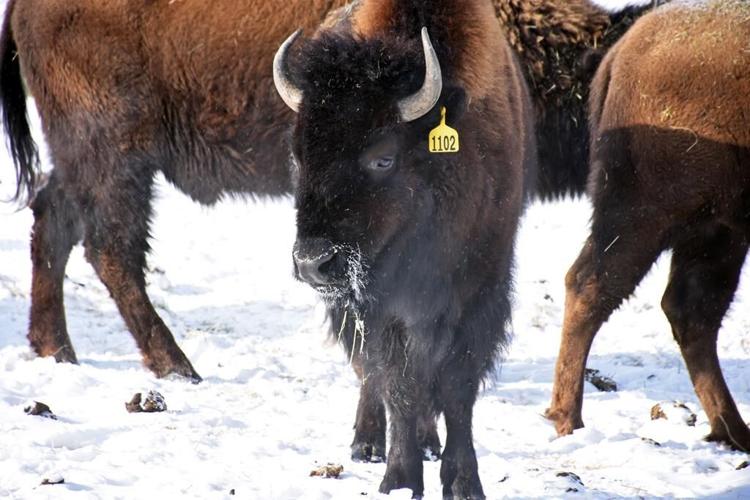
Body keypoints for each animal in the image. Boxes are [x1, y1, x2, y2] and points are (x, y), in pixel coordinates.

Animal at [273, 0, 534, 496]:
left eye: (382, 158)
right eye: (297, 157)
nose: (312, 263)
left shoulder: (478, 295)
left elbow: (456, 388)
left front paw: (463, 481)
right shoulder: (383, 309)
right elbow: (399, 384)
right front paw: (399, 477)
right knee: (370, 374)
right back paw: (368, 443)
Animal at [545, 0, 750, 451]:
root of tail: (625, 48)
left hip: (716, 232)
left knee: (692, 311)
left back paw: (733, 431)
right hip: (646, 216)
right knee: (590, 286)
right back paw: (569, 421)